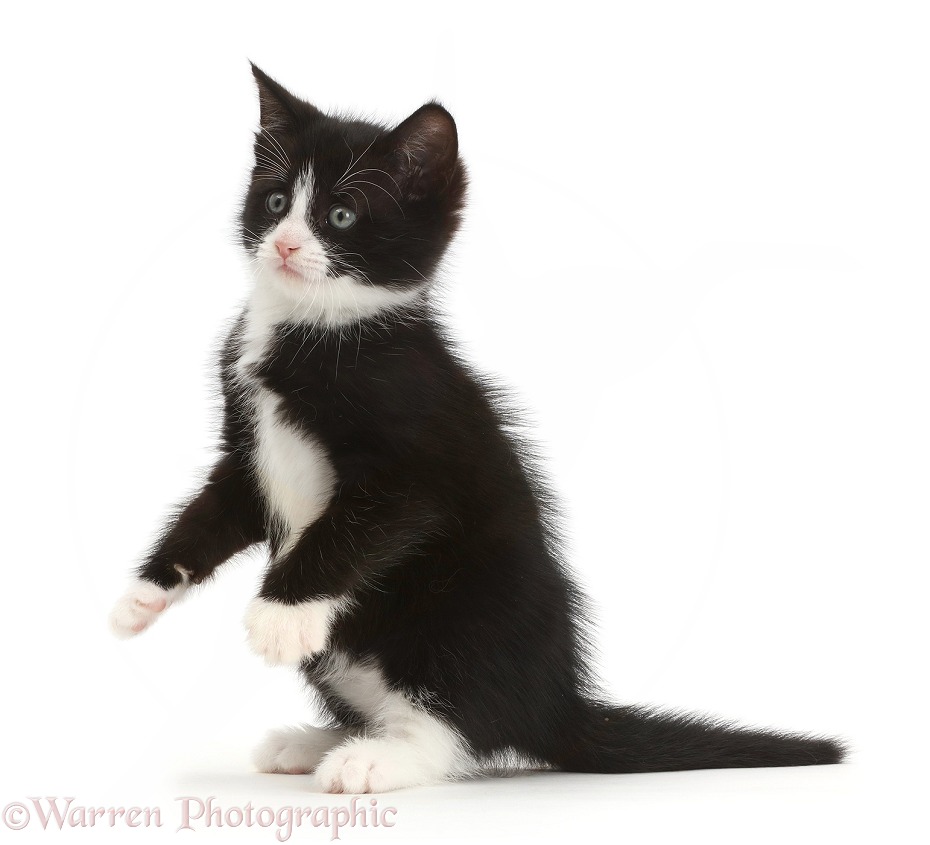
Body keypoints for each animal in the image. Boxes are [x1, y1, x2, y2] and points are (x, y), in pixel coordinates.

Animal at [109, 64, 840, 792]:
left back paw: (376, 757)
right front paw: (142, 596)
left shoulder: (415, 462)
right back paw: (316, 741)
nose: (285, 243)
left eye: (341, 215)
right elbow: (208, 514)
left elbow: (343, 534)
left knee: (465, 724)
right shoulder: (247, 453)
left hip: (470, 604)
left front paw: (278, 616)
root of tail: (557, 704)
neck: (317, 331)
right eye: (276, 200)